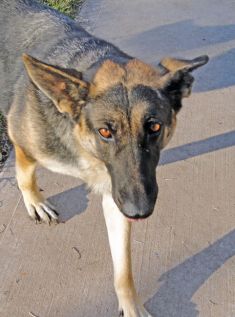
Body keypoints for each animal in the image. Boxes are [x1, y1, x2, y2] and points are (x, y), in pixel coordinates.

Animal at [0, 0, 209, 314]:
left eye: (155, 127)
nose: (139, 211)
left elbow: (123, 269)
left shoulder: (118, 195)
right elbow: (25, 173)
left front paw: (131, 304)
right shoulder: (22, 140)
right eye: (105, 131)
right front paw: (35, 201)